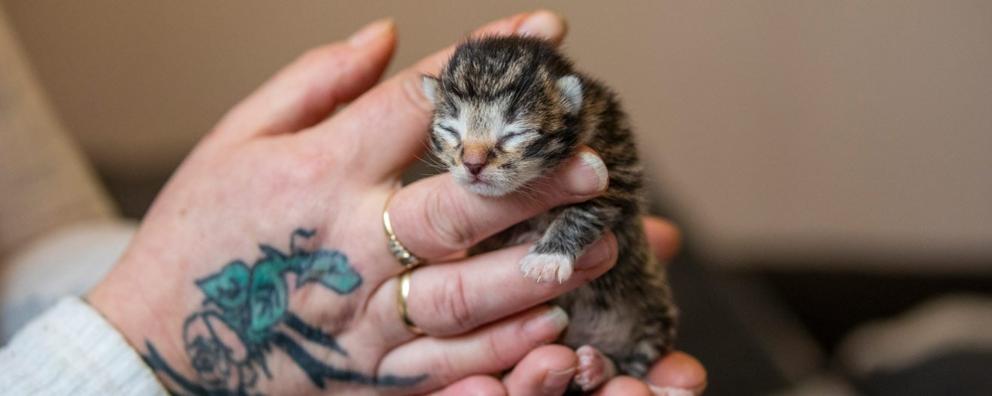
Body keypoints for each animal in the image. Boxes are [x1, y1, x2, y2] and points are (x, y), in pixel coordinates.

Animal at [422, 36, 680, 390]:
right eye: (451, 131)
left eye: (514, 133)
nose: (473, 164)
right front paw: (523, 236)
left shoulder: (616, 164)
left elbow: (587, 209)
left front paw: (549, 257)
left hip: (651, 307)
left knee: (634, 362)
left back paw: (601, 367)